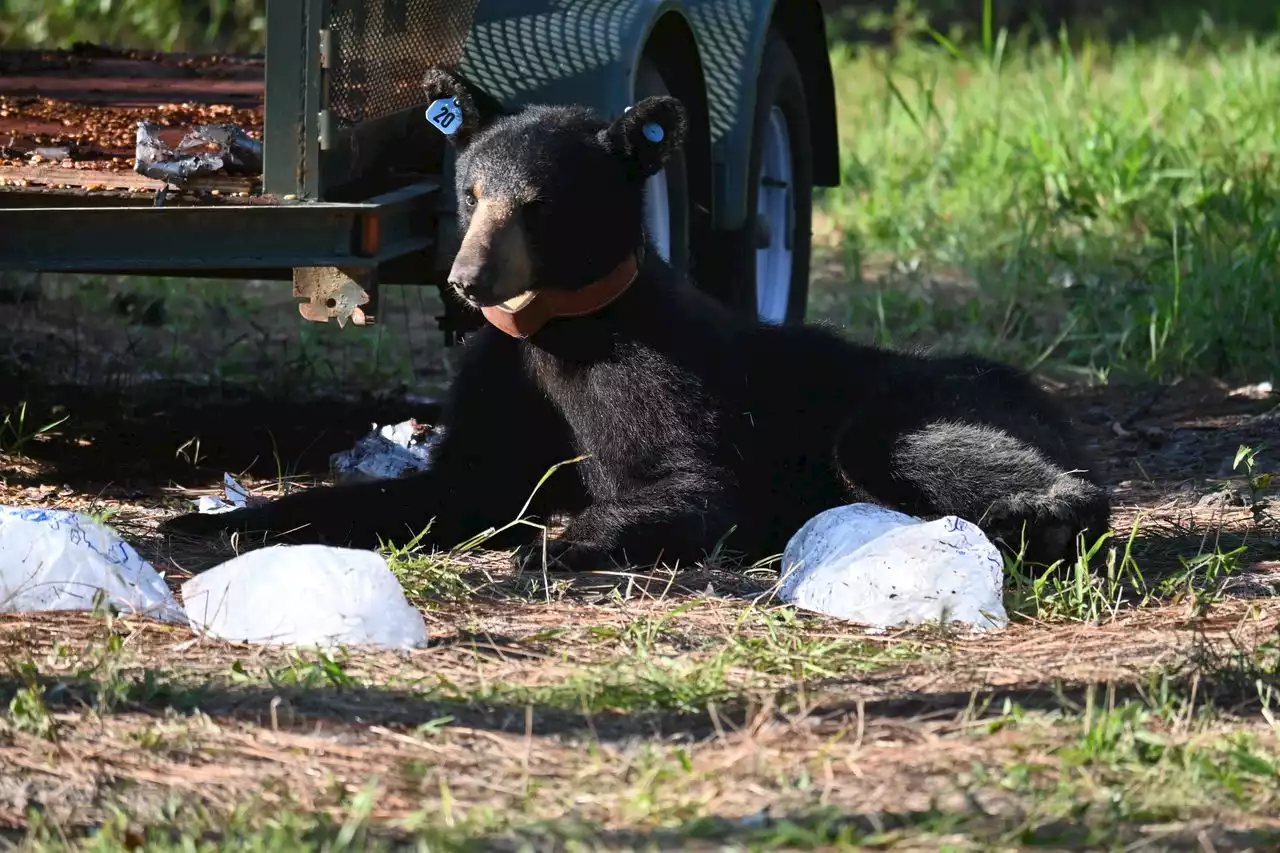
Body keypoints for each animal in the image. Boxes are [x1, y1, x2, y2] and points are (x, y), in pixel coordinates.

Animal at [162, 66, 1111, 571]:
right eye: (470, 192)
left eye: (537, 204)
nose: (468, 281)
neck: (554, 327)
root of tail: (1034, 382)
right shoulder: (501, 378)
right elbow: (454, 481)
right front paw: (209, 520)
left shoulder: (661, 371)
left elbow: (695, 480)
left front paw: (557, 540)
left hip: (929, 393)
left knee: (906, 443)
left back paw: (1044, 513)